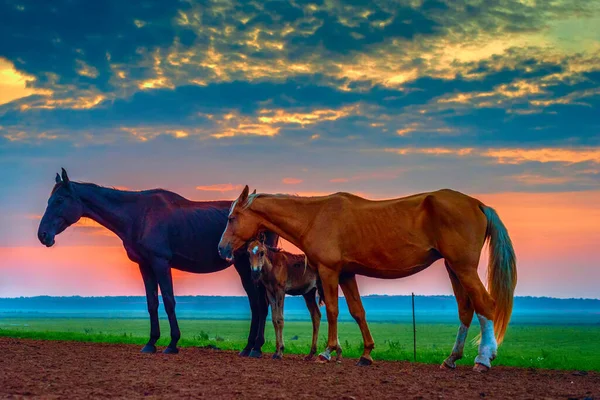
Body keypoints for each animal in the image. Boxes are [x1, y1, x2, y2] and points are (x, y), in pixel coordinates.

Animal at [38, 167, 278, 354]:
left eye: (59, 200)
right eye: (49, 200)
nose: (43, 235)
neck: (138, 215)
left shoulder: (161, 263)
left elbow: (169, 301)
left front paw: (172, 344)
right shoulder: (145, 265)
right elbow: (152, 302)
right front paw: (151, 342)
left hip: (248, 267)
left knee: (260, 304)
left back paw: (255, 348)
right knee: (257, 304)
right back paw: (250, 347)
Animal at [219, 187, 516, 372]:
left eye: (232, 217)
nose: (222, 249)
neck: (315, 216)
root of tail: (478, 204)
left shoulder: (329, 271)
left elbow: (334, 311)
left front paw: (327, 352)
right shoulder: (347, 273)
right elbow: (357, 311)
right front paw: (366, 354)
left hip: (464, 268)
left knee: (485, 305)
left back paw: (483, 358)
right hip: (453, 268)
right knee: (466, 310)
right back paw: (451, 358)